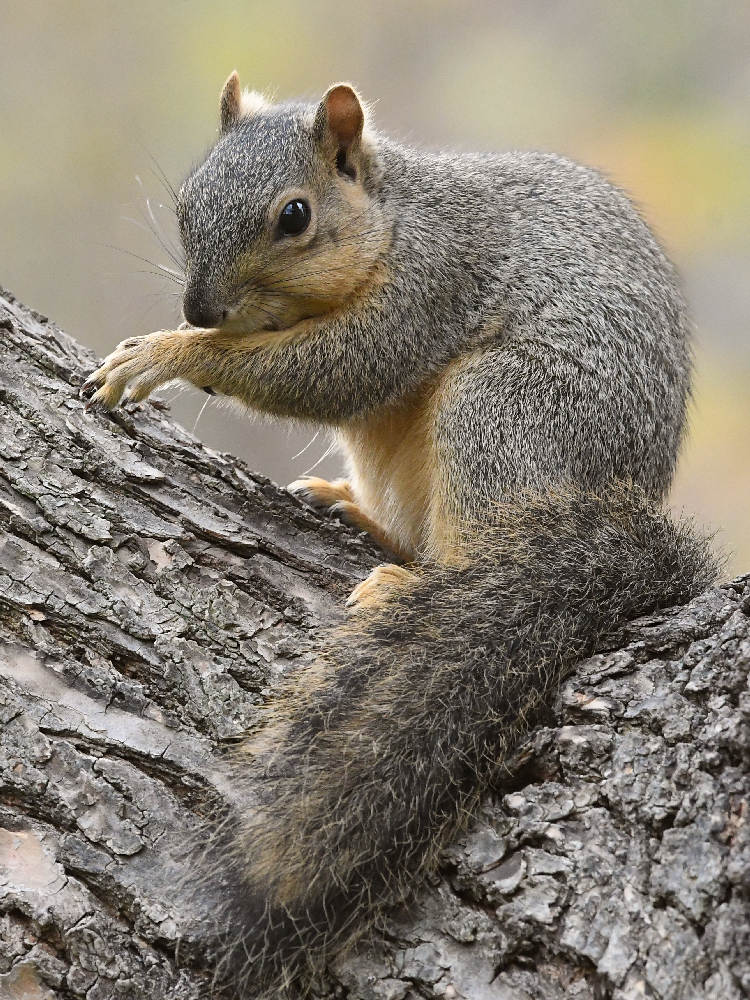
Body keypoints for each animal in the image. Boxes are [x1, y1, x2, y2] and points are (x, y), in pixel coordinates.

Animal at [81, 75, 717, 997]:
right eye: (185, 202)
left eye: (295, 216)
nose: (200, 306)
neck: (393, 220)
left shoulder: (432, 280)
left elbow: (341, 367)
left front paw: (170, 352)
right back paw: (360, 515)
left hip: (504, 413)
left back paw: (419, 582)